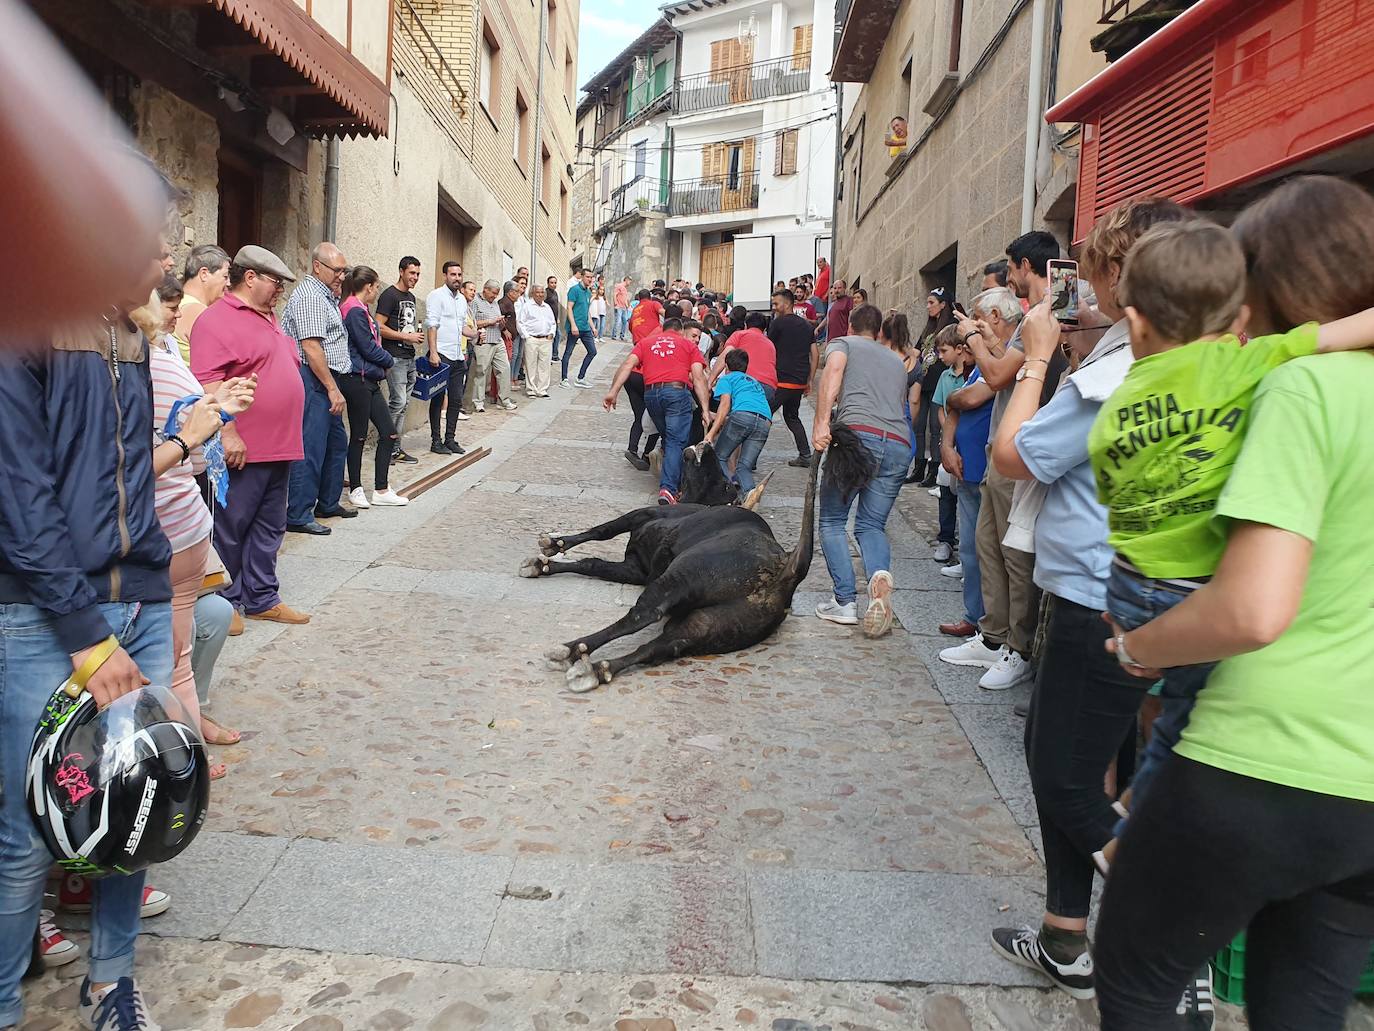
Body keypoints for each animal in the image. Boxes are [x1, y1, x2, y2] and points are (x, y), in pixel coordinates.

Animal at [519, 428, 873, 695]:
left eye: (727, 481)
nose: (708, 443)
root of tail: (787, 567)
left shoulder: (644, 516)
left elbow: (602, 530)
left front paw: (554, 544)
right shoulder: (635, 569)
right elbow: (592, 563)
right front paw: (544, 564)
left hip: (684, 576)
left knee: (642, 616)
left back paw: (572, 650)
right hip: (707, 627)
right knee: (659, 647)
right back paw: (596, 670)